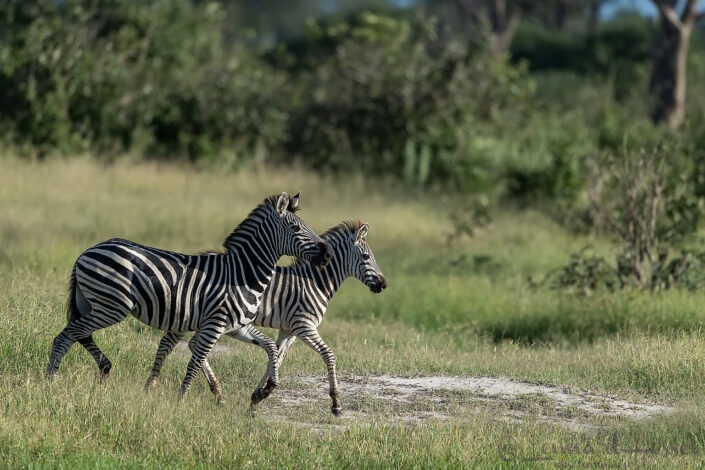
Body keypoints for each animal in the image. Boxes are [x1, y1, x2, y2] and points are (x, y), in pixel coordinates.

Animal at [46, 192, 332, 400]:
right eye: (296, 229)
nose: (327, 253)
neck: (242, 273)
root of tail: (88, 251)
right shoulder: (215, 324)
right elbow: (195, 363)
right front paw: (181, 400)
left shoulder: (236, 326)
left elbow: (271, 346)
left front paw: (267, 388)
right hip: (111, 306)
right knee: (67, 335)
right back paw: (50, 381)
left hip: (93, 303)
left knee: (78, 335)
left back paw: (93, 370)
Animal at [149, 220, 386, 415]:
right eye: (366, 257)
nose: (383, 285)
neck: (315, 283)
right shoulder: (303, 325)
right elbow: (328, 354)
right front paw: (336, 404)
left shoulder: (288, 330)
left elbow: (276, 358)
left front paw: (256, 398)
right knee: (171, 343)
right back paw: (154, 385)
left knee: (191, 344)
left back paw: (217, 394)